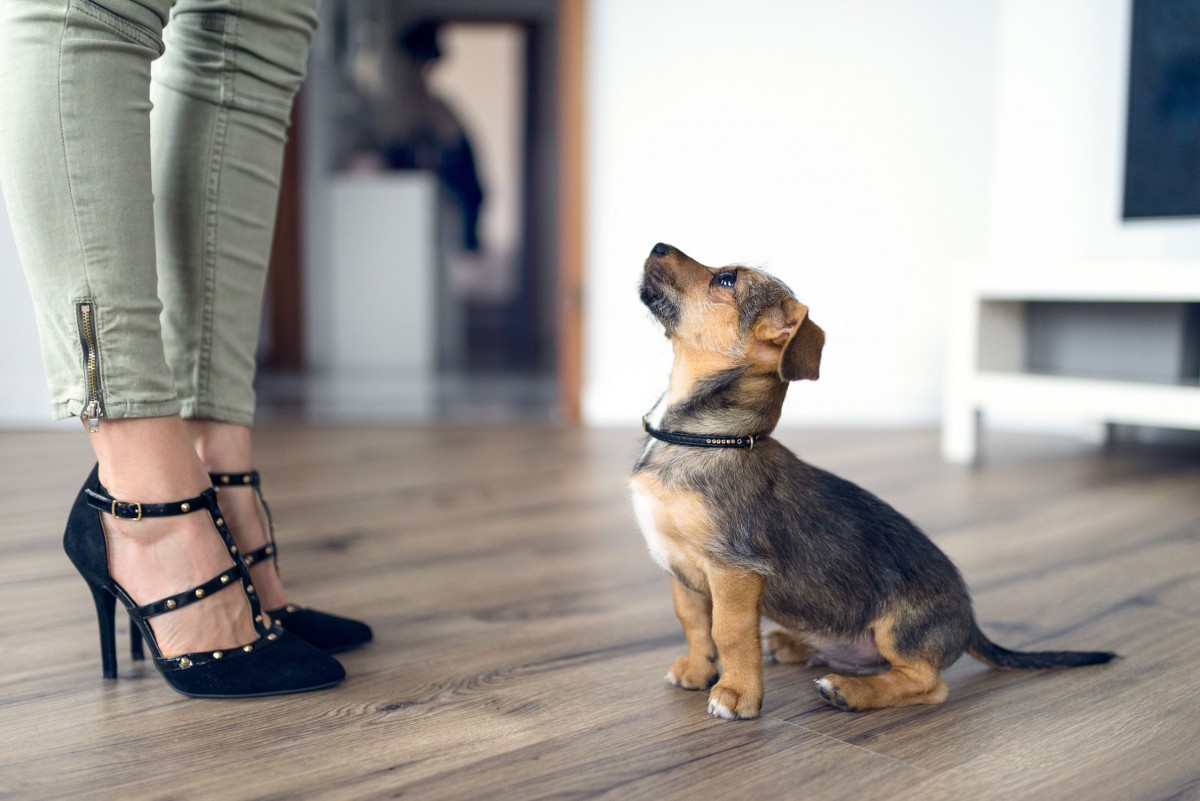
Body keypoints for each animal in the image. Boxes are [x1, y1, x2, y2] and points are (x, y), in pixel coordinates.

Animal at [633, 244, 1108, 719]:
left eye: (727, 280)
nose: (657, 246)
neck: (705, 439)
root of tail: (971, 623)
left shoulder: (735, 570)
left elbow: (729, 632)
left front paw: (736, 693)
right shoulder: (679, 567)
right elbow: (695, 623)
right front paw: (698, 670)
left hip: (898, 628)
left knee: (928, 684)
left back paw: (848, 690)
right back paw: (793, 645)